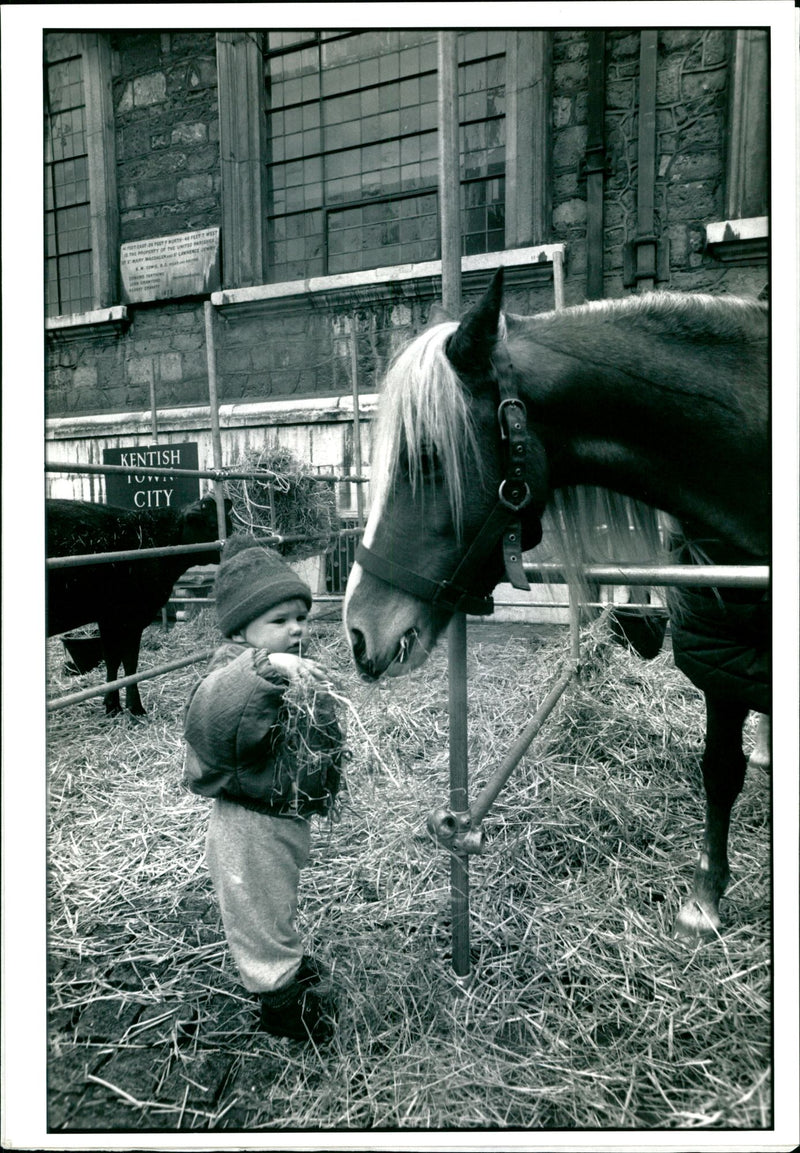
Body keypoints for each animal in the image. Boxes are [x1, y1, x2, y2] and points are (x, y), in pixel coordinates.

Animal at [48, 493, 231, 710]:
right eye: (213, 525)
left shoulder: (108, 618)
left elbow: (112, 660)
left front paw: (111, 705)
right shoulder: (130, 616)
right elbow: (129, 662)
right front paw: (134, 707)